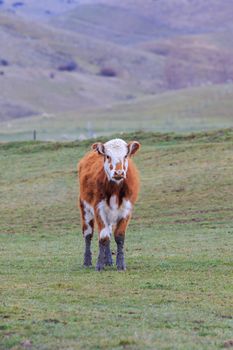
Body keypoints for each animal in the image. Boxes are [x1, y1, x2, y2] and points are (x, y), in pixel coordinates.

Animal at [78, 138, 140, 270]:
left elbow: (119, 236)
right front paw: (99, 265)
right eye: (107, 156)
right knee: (88, 234)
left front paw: (120, 264)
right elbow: (103, 237)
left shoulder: (126, 210)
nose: (118, 172)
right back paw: (87, 261)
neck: (115, 189)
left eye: (125, 156)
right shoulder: (99, 209)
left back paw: (108, 260)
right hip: (85, 208)